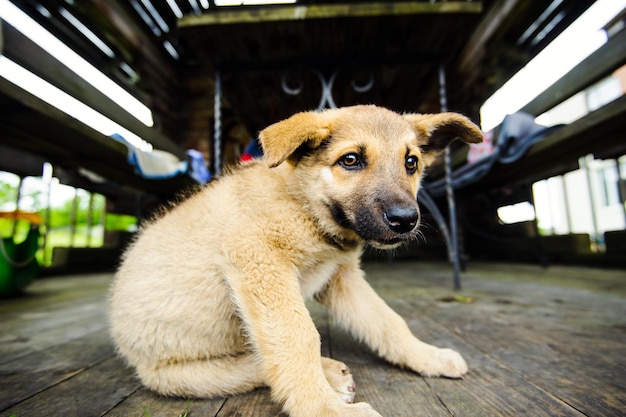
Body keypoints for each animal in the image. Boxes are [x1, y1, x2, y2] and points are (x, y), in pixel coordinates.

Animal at [109, 105, 480, 416]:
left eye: (411, 162)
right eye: (350, 160)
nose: (405, 220)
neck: (306, 207)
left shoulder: (341, 278)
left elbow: (388, 322)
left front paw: (427, 356)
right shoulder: (258, 259)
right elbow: (298, 337)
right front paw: (325, 409)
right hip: (180, 374)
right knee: (254, 365)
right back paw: (330, 375)